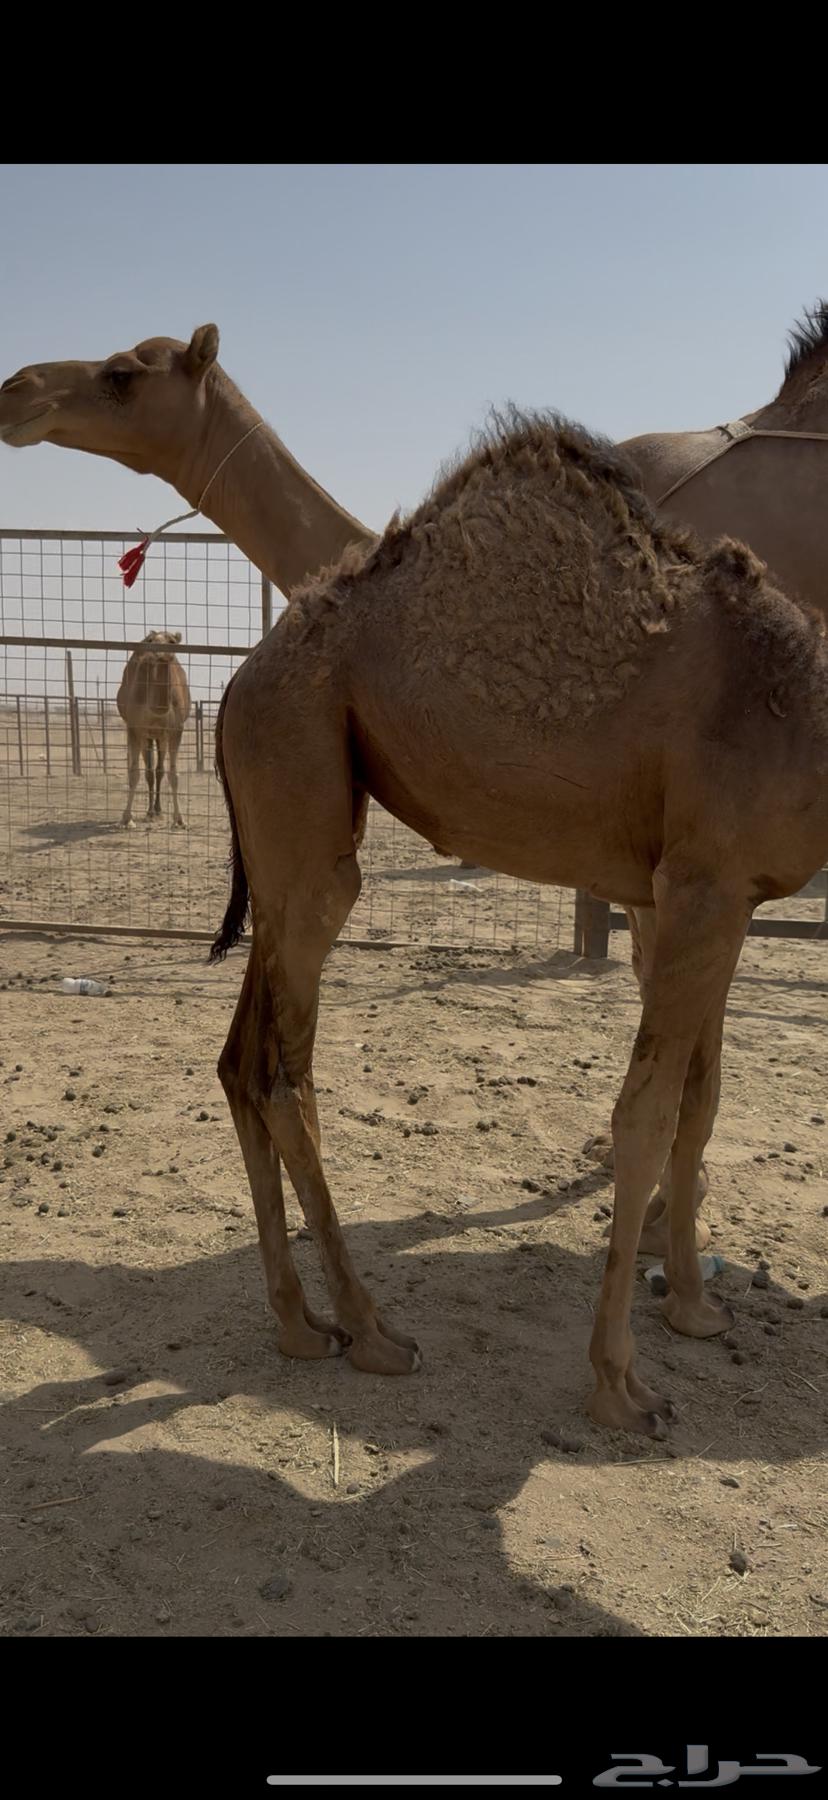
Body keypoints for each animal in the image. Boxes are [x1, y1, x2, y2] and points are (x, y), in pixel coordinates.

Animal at [115, 630, 191, 828]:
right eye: (151, 640)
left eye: (172, 641)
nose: (156, 652)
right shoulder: (135, 727)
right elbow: (134, 773)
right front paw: (127, 818)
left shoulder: (176, 730)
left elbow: (173, 775)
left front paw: (179, 819)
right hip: (147, 735)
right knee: (149, 771)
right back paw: (150, 812)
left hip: (160, 736)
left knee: (158, 770)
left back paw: (157, 810)